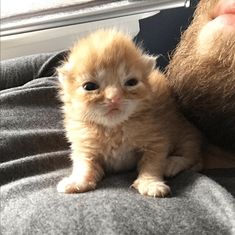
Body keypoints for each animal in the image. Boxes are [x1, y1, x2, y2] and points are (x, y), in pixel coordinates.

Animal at [56, 29, 201, 198]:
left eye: (131, 82)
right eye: (89, 86)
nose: (114, 98)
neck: (114, 128)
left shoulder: (157, 140)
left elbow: (152, 164)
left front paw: (151, 183)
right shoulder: (84, 147)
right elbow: (84, 166)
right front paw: (78, 182)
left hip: (184, 131)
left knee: (193, 156)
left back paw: (171, 164)